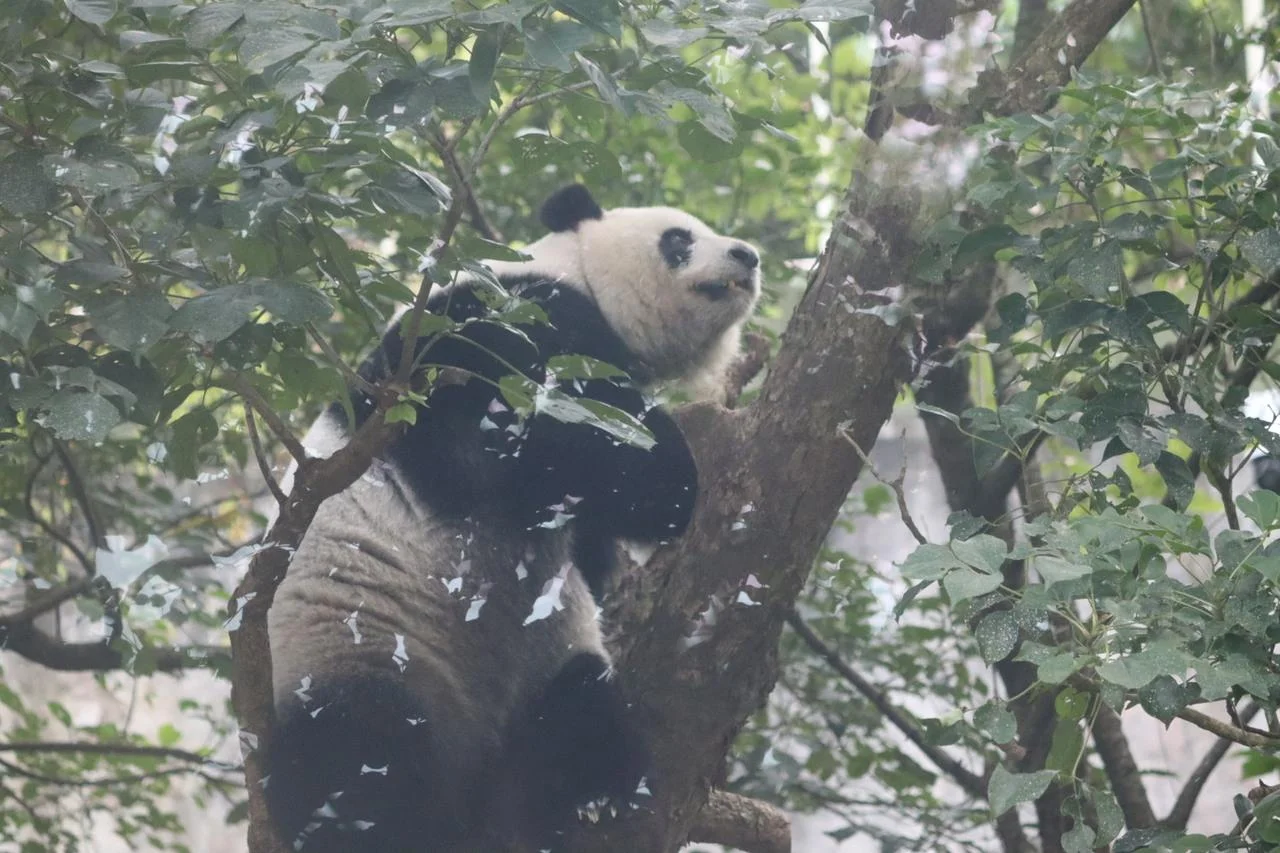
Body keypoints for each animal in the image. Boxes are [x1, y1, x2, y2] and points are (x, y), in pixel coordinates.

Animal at [263, 184, 760, 853]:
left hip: (541, 668)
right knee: (359, 762)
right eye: (679, 239)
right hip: (354, 648)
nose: (747, 255)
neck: (571, 268)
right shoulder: (495, 321)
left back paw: (587, 794)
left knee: (578, 710)